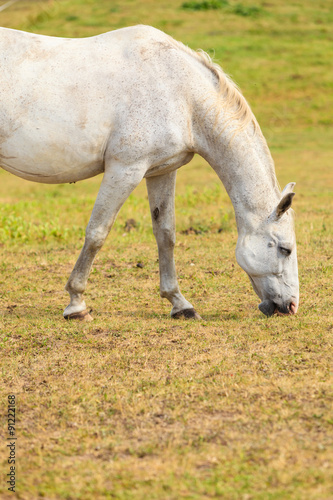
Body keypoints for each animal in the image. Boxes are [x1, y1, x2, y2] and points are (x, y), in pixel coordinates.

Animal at [0, 24, 298, 320]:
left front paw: (180, 303)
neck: (181, 94)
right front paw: (76, 304)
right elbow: (97, 232)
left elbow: (165, 234)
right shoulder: (125, 170)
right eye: (285, 249)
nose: (291, 306)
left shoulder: (161, 171)